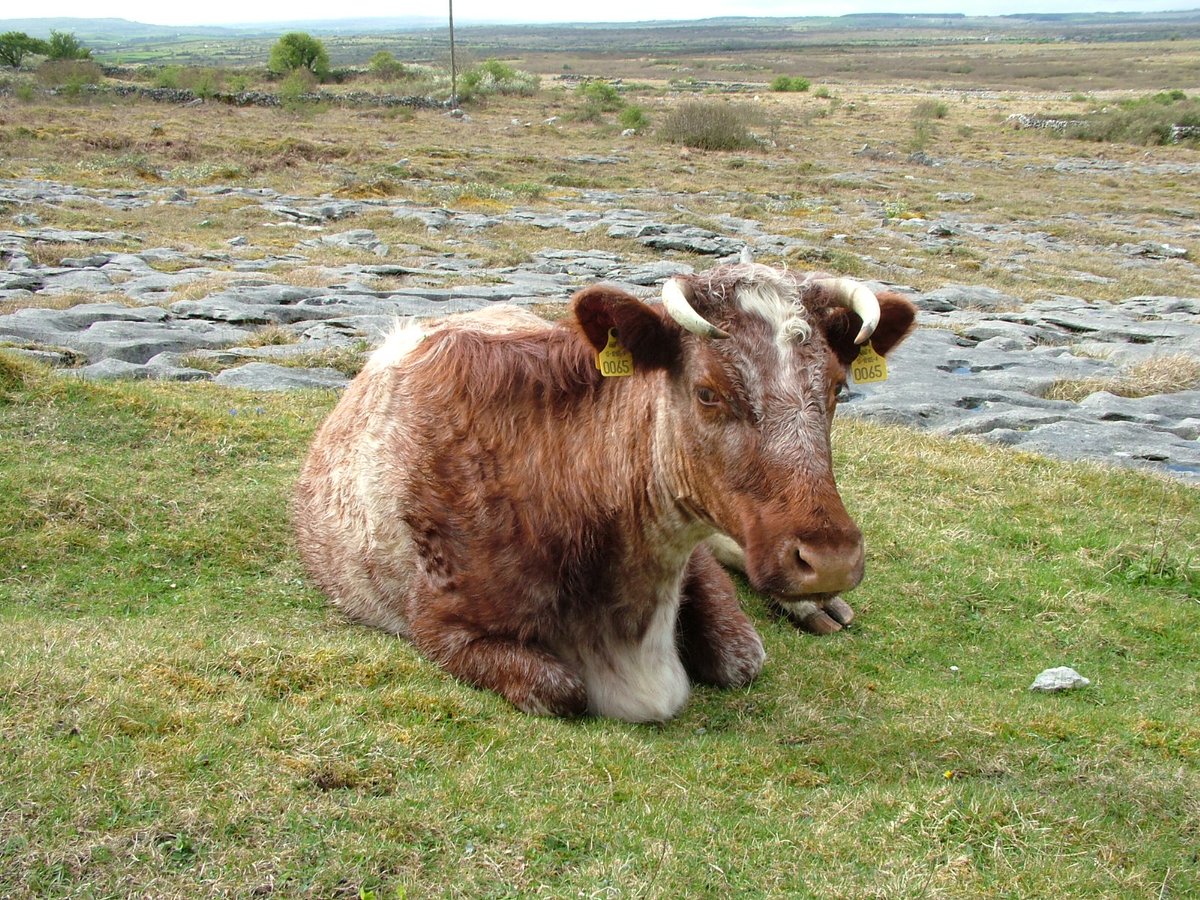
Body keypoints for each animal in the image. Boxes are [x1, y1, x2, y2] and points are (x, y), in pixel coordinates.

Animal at [293, 258, 916, 722]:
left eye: (837, 388)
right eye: (707, 392)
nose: (830, 559)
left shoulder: (693, 559)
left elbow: (744, 655)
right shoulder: (438, 624)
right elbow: (563, 690)